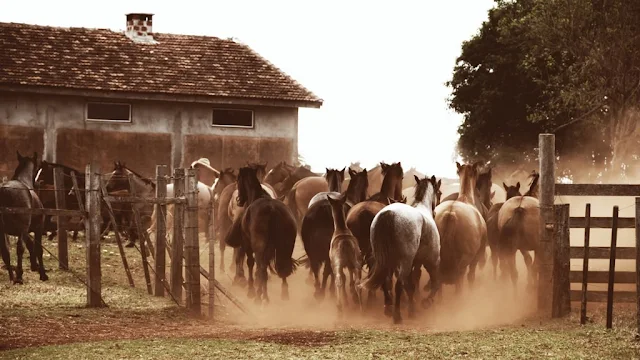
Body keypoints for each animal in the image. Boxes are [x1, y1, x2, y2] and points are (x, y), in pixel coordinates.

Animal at [0, 152, 48, 284]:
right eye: (38, 168)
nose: (38, 183)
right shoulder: (37, 228)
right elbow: (38, 249)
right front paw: (43, 274)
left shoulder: (23, 232)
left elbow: (31, 246)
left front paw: (35, 266)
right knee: (19, 248)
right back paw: (19, 277)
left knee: (5, 251)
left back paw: (12, 277)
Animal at [222, 166, 298, 304]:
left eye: (238, 179)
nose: (239, 200)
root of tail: (272, 209)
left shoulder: (248, 244)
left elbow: (250, 263)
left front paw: (251, 290)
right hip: (285, 247)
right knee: (282, 267)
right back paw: (283, 294)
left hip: (259, 247)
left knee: (261, 267)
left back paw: (259, 296)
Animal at [298, 167, 368, 300]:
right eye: (367, 183)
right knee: (327, 270)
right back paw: (327, 291)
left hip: (311, 250)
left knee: (315, 268)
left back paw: (318, 290)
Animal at [360, 174, 440, 324]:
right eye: (439, 192)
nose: (435, 212)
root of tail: (388, 213)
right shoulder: (431, 260)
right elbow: (434, 283)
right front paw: (426, 301)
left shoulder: (412, 263)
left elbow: (411, 285)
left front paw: (412, 308)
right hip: (406, 262)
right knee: (398, 285)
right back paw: (397, 315)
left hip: (384, 261)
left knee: (386, 282)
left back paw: (389, 308)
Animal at [438, 162, 488, 292]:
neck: (465, 199)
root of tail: (450, 214)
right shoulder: (476, 257)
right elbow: (471, 276)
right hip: (462, 265)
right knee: (459, 282)